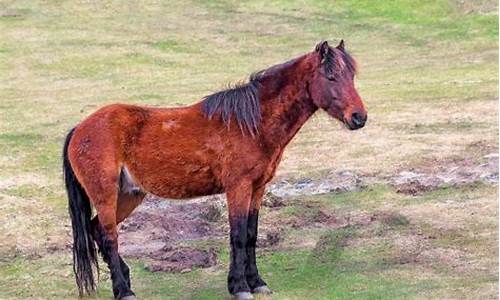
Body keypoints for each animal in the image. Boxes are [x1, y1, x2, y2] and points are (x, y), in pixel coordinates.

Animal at [62, 39, 368, 300]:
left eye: (351, 76)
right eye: (331, 77)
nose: (359, 117)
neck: (251, 124)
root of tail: (80, 129)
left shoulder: (257, 188)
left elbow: (251, 234)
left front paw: (257, 283)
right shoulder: (238, 188)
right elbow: (238, 235)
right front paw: (240, 287)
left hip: (128, 195)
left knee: (97, 231)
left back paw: (125, 280)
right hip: (106, 196)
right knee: (110, 237)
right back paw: (124, 291)